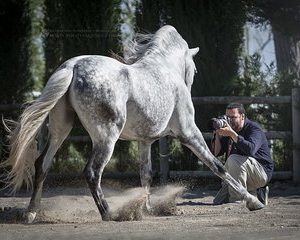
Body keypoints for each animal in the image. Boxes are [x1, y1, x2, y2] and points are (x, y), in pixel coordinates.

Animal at [2, 25, 264, 222]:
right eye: (194, 69)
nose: (190, 85)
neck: (164, 69)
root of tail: (72, 66)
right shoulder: (189, 134)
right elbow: (217, 166)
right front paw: (253, 201)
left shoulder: (145, 141)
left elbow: (145, 173)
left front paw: (146, 209)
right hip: (106, 137)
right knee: (92, 172)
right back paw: (110, 214)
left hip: (60, 130)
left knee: (42, 166)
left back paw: (31, 213)